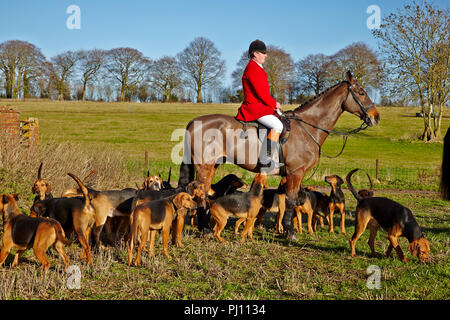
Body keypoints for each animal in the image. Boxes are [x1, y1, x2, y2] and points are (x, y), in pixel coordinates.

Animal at [179, 71, 380, 239]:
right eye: (361, 92)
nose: (376, 117)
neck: (307, 127)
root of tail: (194, 122)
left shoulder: (289, 175)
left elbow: (287, 204)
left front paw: (283, 229)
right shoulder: (295, 172)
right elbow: (291, 201)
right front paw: (290, 233)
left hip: (212, 165)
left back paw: (204, 227)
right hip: (204, 167)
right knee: (200, 195)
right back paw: (206, 229)